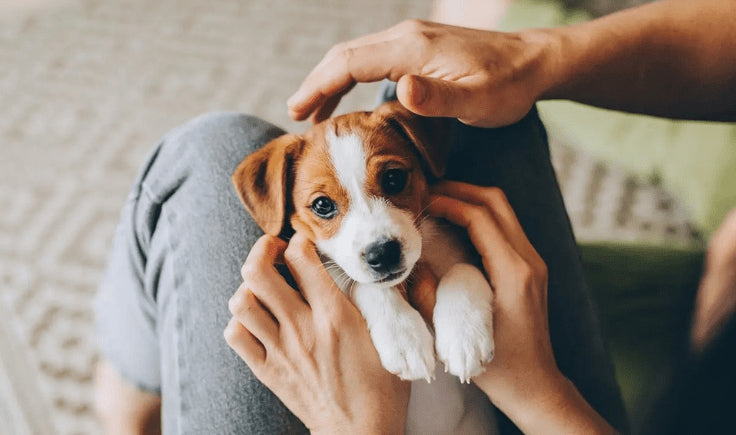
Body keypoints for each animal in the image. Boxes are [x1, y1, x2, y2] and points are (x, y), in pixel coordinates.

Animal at [234, 101, 500, 432]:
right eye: (322, 205)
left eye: (393, 179)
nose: (382, 254)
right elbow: (363, 285)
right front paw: (402, 336)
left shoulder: (464, 251)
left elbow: (463, 268)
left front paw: (464, 335)